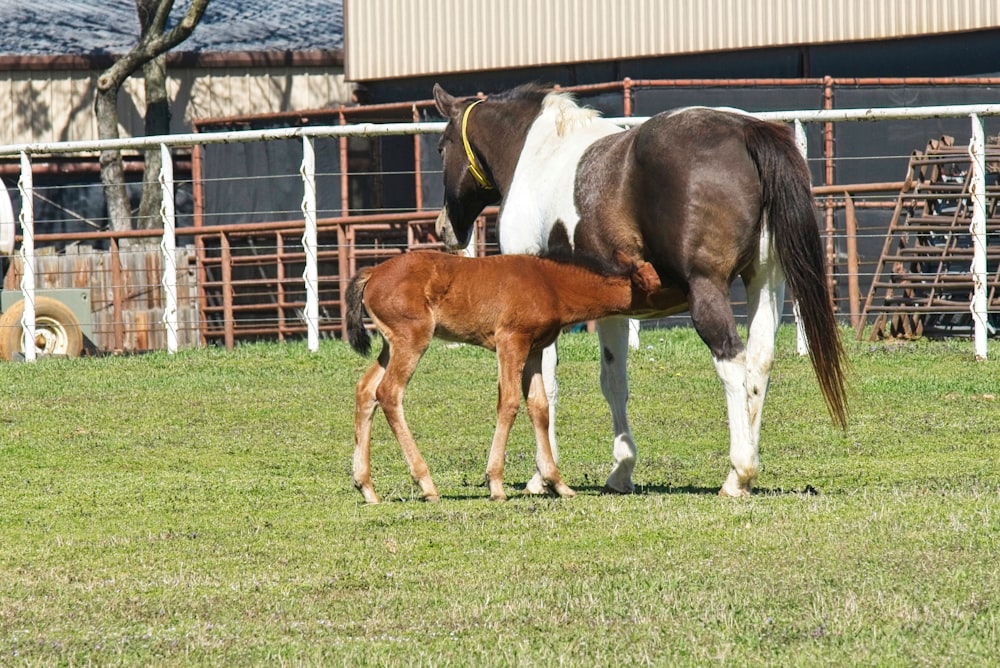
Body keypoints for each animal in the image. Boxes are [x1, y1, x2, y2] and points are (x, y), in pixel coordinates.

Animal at [348, 249, 660, 500]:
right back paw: (426, 483)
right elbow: (509, 403)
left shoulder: (534, 351)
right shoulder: (511, 341)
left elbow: (539, 407)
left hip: (390, 346)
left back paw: (367, 487)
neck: (551, 284)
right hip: (412, 339)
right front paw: (496, 484)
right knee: (388, 392)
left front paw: (558, 484)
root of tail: (373, 273)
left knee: (365, 389)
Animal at [434, 83, 848, 498]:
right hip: (764, 281)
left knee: (732, 361)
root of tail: (745, 130)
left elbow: (544, 388)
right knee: (760, 363)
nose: (443, 228)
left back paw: (739, 472)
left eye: (440, 147)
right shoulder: (611, 309)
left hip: (708, 291)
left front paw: (543, 477)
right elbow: (614, 381)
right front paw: (621, 470)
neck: (539, 152)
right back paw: (743, 474)